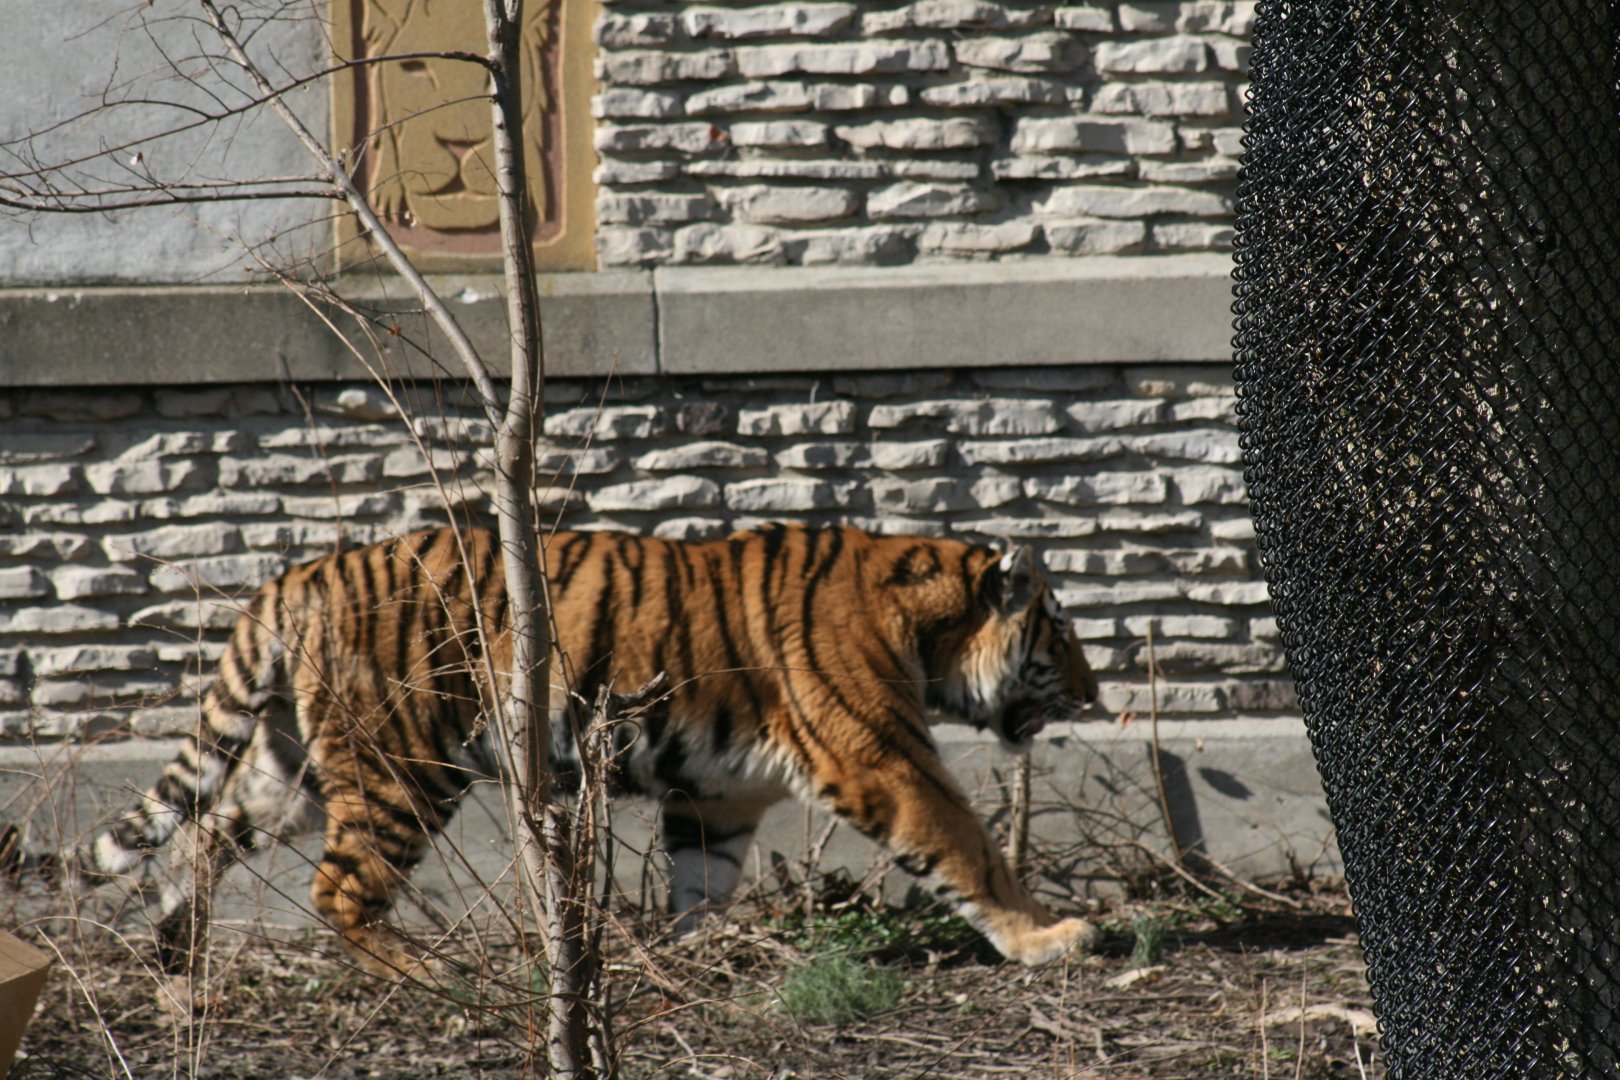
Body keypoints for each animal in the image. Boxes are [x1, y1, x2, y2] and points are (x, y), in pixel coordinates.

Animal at [10, 523, 1100, 972]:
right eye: (1059, 636)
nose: (1096, 694)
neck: (928, 621)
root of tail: (301, 574)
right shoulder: (885, 758)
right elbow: (971, 847)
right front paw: (1050, 937)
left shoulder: (718, 798)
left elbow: (702, 887)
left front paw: (689, 958)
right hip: (403, 768)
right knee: (340, 894)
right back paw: (428, 973)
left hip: (295, 765)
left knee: (201, 840)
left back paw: (177, 958)